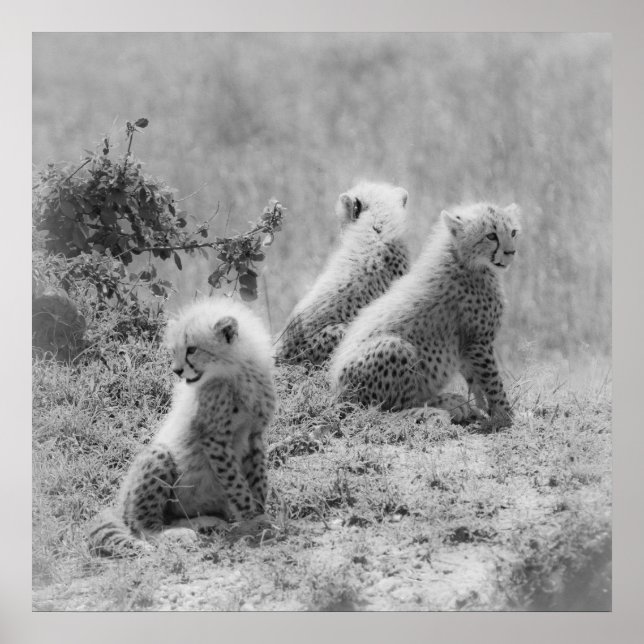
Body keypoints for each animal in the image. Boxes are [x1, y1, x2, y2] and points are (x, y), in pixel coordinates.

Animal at [88, 296, 276, 557]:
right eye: (174, 351)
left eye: (192, 349)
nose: (176, 371)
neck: (238, 371)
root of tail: (117, 505)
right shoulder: (214, 438)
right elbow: (235, 482)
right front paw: (253, 517)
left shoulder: (255, 435)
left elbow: (258, 480)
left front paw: (259, 511)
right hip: (160, 455)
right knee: (142, 525)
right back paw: (177, 534)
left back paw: (206, 522)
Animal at [329, 202, 521, 429]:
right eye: (491, 236)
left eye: (513, 232)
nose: (511, 252)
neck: (462, 258)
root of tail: (336, 393)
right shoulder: (478, 342)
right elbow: (493, 383)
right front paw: (507, 415)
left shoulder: (466, 346)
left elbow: (476, 381)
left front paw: (485, 410)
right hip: (395, 347)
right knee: (388, 409)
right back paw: (439, 408)